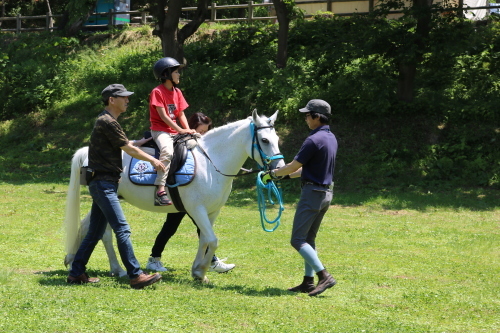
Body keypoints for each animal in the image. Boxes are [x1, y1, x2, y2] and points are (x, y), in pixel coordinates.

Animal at [64, 110, 284, 282]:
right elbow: (212, 240)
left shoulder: (211, 211)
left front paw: (198, 270)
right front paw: (201, 271)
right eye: (264, 140)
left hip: (106, 201)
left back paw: (98, 265)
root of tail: (88, 152)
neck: (210, 163)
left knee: (94, 229)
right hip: (107, 199)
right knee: (103, 233)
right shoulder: (197, 209)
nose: (279, 169)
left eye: (277, 140)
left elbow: (205, 239)